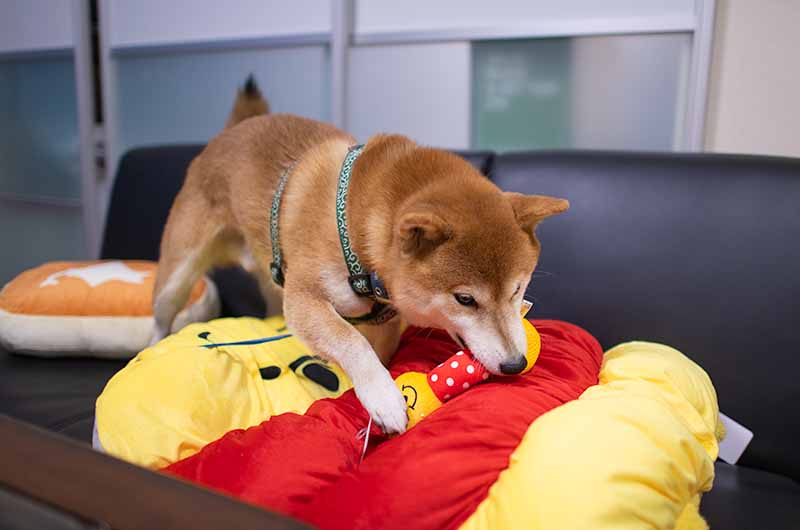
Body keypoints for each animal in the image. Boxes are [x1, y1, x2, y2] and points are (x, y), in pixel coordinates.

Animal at [153, 79, 564, 434]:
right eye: (465, 299)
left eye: (517, 290)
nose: (515, 363)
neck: (354, 224)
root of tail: (232, 131)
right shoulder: (304, 299)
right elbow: (351, 341)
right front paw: (384, 398)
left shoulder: (381, 320)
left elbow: (374, 350)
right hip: (177, 275)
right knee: (162, 315)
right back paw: (153, 347)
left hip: (272, 284)